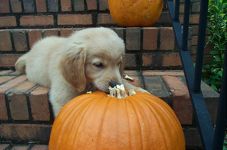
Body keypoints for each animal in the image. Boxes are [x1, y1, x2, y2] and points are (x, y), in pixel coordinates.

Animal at [15, 27, 147, 117]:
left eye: (119, 63)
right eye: (98, 65)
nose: (115, 85)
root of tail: (30, 53)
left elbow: (124, 82)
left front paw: (140, 90)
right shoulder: (61, 94)